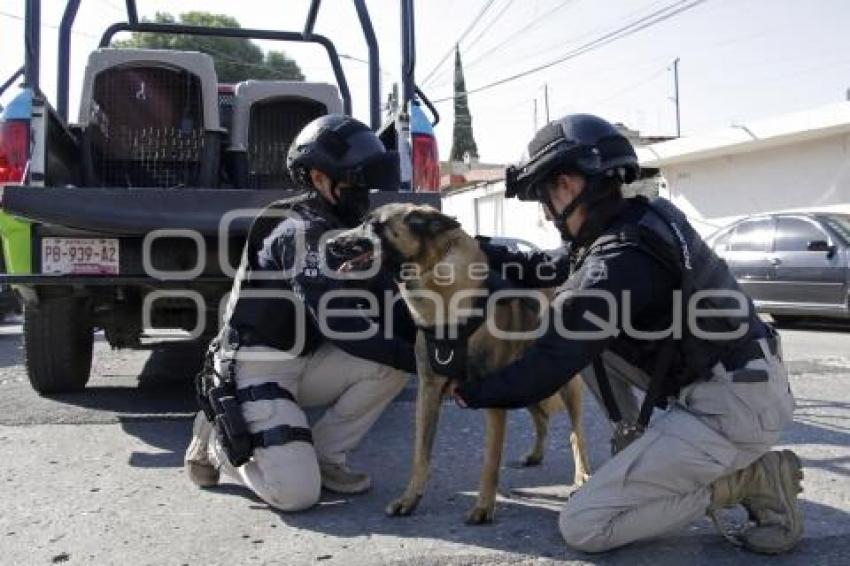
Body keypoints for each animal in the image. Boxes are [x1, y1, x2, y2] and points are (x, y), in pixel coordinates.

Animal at [326, 205, 588, 528]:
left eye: (373, 224)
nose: (329, 244)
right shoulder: (429, 391)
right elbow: (420, 455)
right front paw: (409, 499)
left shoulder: (492, 394)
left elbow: (490, 460)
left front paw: (484, 506)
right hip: (527, 379)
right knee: (541, 416)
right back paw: (536, 455)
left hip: (562, 382)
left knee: (575, 433)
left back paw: (582, 475)